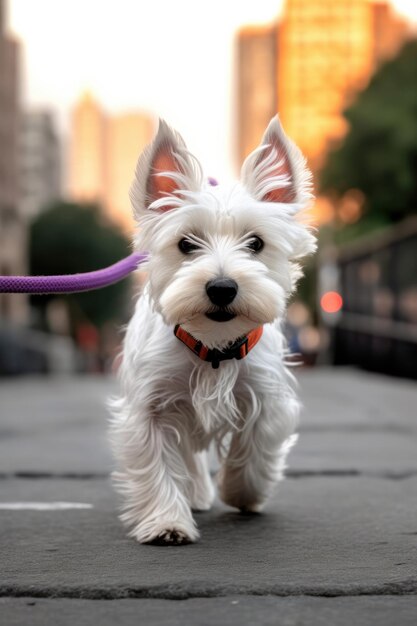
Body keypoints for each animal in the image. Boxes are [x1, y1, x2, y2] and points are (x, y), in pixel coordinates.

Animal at [110, 116, 316, 540]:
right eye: (186, 244)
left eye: (256, 243)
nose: (222, 287)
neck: (212, 348)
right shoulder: (151, 407)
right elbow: (157, 465)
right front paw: (167, 522)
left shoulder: (266, 395)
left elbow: (254, 447)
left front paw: (243, 493)